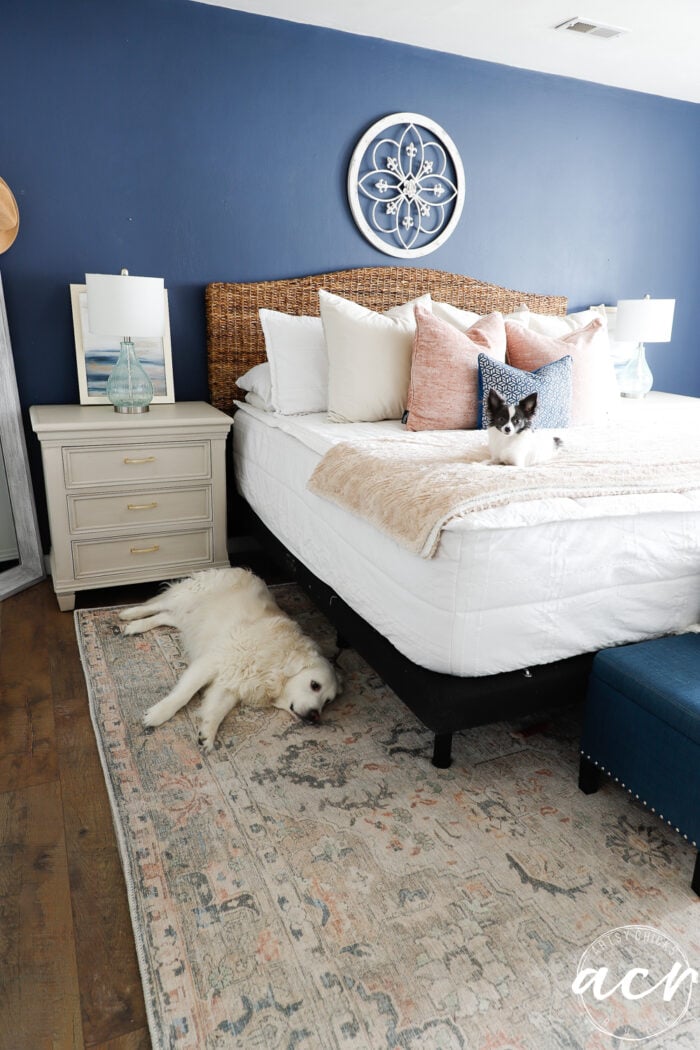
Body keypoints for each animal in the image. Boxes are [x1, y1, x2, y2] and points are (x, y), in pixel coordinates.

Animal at [118, 571, 342, 751]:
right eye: (315, 685)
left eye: (328, 701)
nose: (315, 717)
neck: (274, 666)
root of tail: (240, 569)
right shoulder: (212, 663)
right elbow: (183, 695)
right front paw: (157, 715)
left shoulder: (233, 684)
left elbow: (218, 709)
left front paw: (207, 734)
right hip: (188, 596)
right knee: (158, 604)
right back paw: (127, 614)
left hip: (191, 619)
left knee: (164, 616)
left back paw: (135, 627)